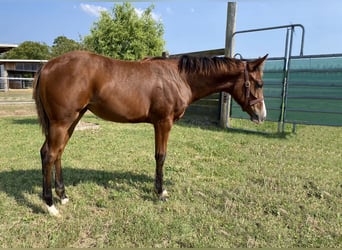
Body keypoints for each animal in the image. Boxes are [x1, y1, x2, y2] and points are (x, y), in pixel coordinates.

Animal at [32, 50, 268, 215]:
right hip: (62, 123)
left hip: (72, 120)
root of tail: (47, 66)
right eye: (258, 83)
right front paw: (160, 192)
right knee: (49, 155)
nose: (262, 115)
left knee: (57, 153)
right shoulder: (163, 123)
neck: (178, 77)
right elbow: (160, 156)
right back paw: (50, 204)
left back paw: (62, 196)